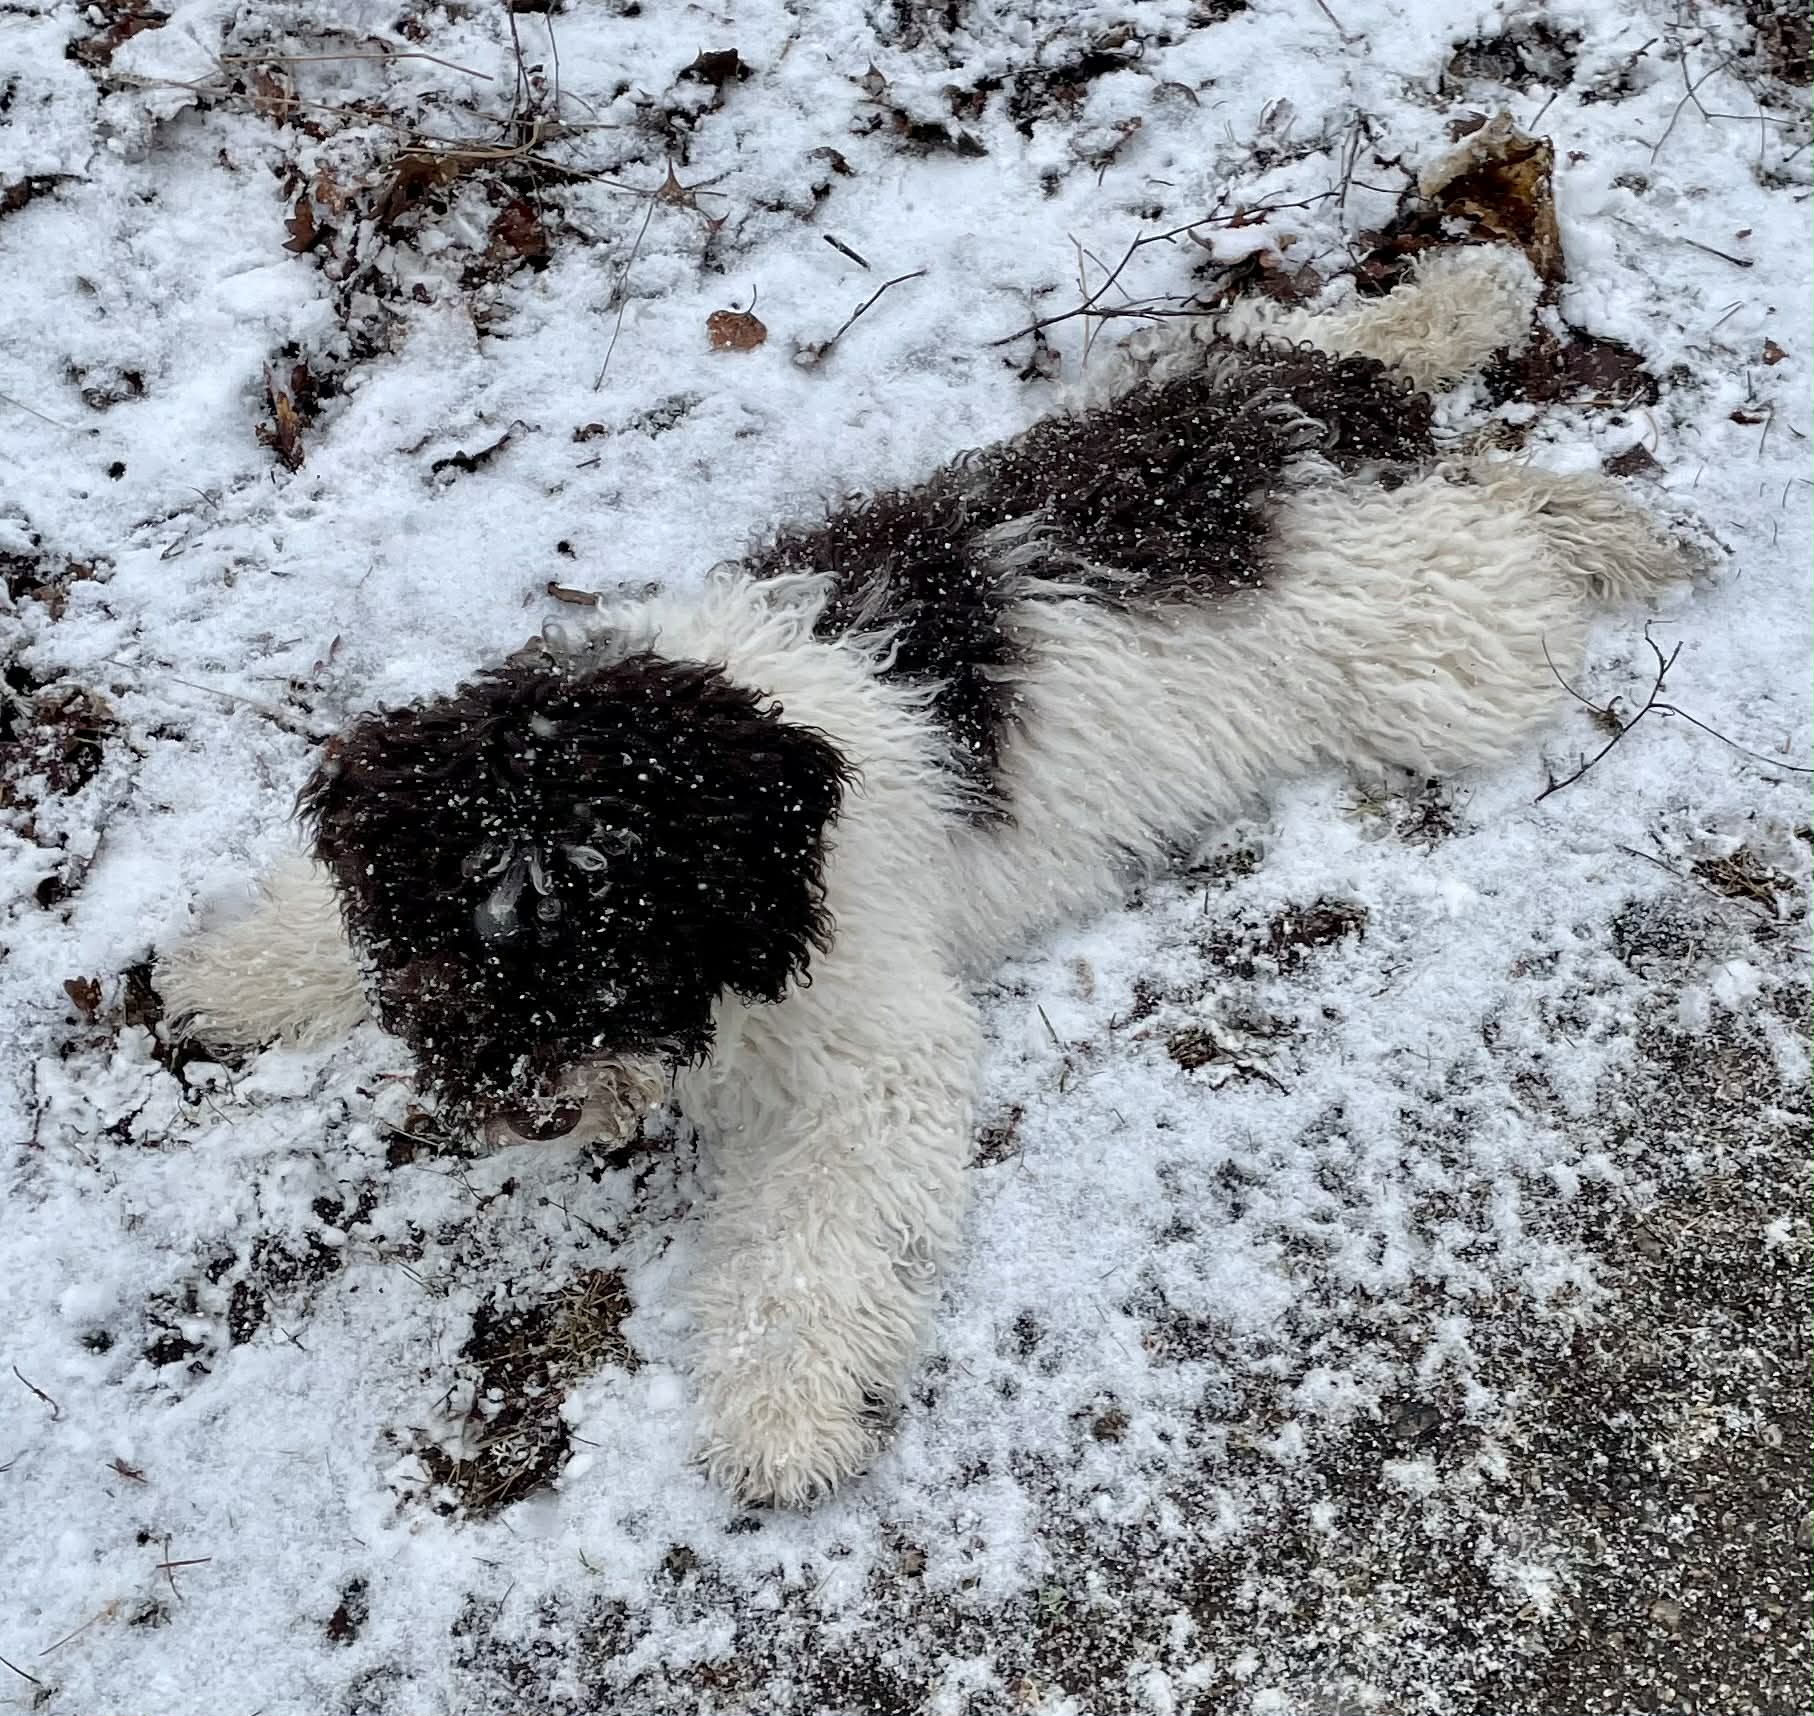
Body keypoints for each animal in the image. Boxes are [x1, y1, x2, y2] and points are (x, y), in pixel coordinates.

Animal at [157, 242, 1690, 1505]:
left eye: (621, 924)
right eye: (446, 925)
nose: (522, 1102)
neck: (761, 809)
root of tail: (1296, 443)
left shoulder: (866, 1044)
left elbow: (812, 1235)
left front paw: (780, 1413)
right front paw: (232, 971)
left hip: (1439, 655)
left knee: (1497, 523)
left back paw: (1607, 521)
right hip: (1219, 396)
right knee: (1313, 342)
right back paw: (1469, 311)